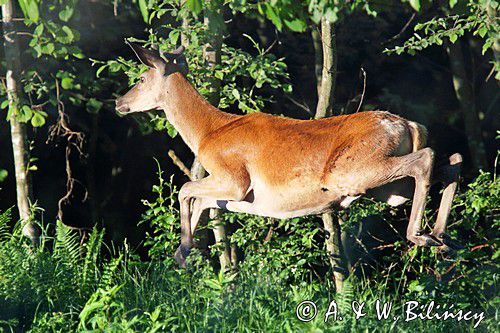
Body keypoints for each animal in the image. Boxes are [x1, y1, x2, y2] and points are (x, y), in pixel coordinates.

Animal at [115, 42, 462, 268]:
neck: (207, 133)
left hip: (351, 169)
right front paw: (183, 253)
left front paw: (184, 249)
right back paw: (441, 238)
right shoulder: (236, 195)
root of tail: (409, 125)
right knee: (450, 163)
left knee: (427, 158)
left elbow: (185, 188)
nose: (120, 102)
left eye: (141, 78)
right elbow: (199, 199)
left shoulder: (235, 178)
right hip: (385, 188)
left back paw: (421, 235)